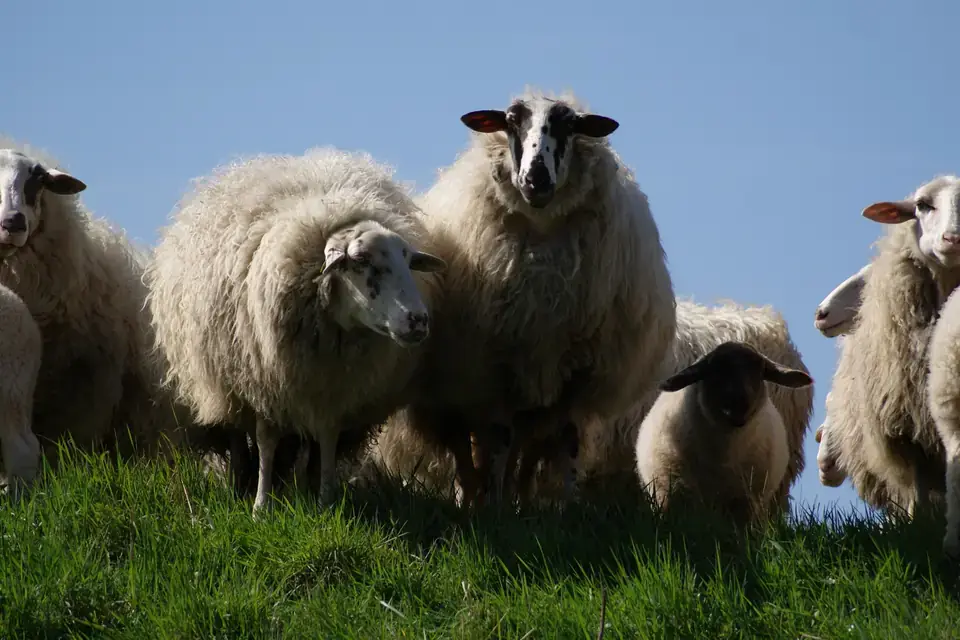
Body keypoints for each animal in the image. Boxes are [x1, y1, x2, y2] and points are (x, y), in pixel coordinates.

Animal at [145, 147, 447, 513]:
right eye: (361, 261)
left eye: (408, 260)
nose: (418, 320)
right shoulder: (265, 382)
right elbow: (266, 441)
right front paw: (261, 506)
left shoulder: (333, 389)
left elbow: (327, 438)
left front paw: (326, 500)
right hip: (225, 381)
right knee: (237, 436)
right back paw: (239, 483)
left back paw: (299, 485)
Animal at [370, 88, 676, 507]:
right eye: (512, 121)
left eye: (570, 124)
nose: (536, 178)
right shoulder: (495, 363)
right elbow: (498, 440)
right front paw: (495, 505)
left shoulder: (575, 371)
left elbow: (566, 441)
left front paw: (565, 506)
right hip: (456, 391)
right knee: (467, 449)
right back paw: (472, 498)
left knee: (527, 450)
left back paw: (521, 498)